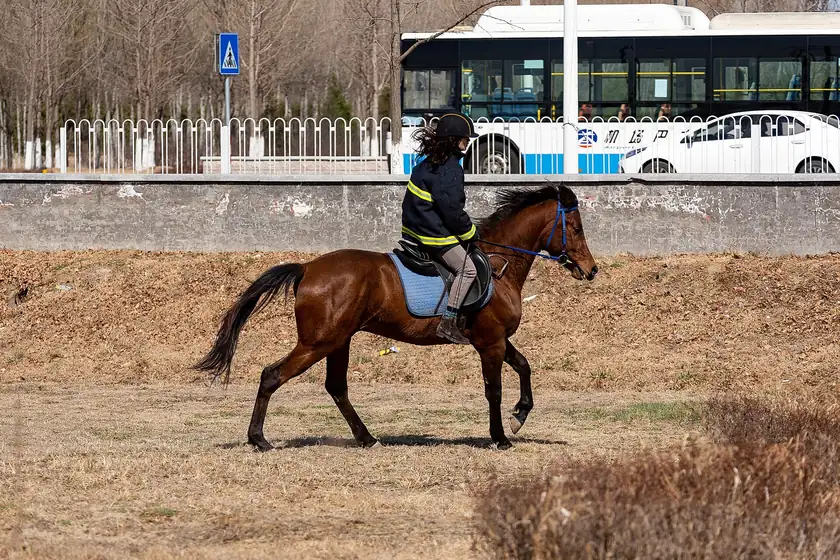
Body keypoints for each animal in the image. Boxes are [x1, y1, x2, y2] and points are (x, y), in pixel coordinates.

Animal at [195, 184, 598, 451]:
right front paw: (500, 437)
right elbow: (494, 389)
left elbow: (525, 366)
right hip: (318, 342)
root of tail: (307, 268)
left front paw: (520, 415)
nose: (591, 270)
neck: (501, 264)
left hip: (338, 341)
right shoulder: (490, 343)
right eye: (576, 229)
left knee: (336, 387)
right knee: (272, 375)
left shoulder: (498, 339)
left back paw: (366, 438)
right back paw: (259, 439)